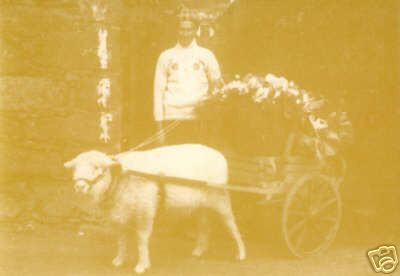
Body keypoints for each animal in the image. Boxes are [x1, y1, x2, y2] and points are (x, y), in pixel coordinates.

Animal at [64, 144, 245, 274]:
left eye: (97, 167)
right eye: (75, 168)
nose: (79, 186)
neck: (120, 178)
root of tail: (219, 154)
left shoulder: (145, 213)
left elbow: (141, 240)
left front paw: (142, 265)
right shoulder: (121, 215)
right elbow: (121, 240)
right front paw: (119, 260)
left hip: (221, 198)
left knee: (232, 225)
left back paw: (241, 253)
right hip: (202, 205)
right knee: (204, 226)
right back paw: (199, 251)